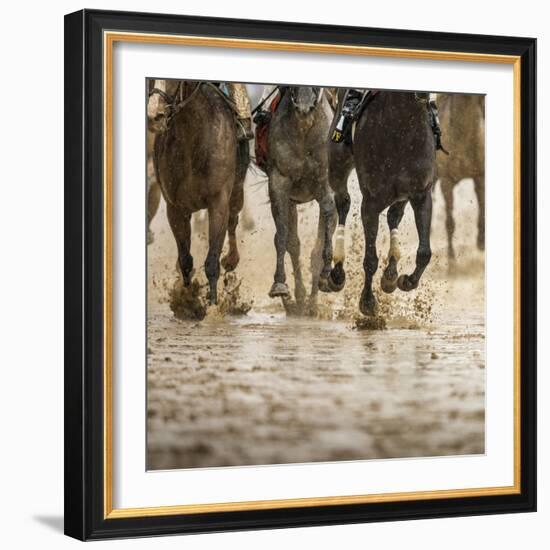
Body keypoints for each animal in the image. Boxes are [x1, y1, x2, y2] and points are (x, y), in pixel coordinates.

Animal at [148, 81, 249, 306]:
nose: (154, 114)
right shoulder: (175, 207)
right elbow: (185, 259)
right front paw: (186, 299)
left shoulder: (218, 202)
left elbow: (212, 260)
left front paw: (212, 306)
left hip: (237, 191)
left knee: (233, 220)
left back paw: (232, 259)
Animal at [268, 87, 336, 314]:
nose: (304, 107)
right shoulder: (279, 182)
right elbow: (283, 235)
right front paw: (280, 284)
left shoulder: (325, 181)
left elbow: (328, 218)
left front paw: (326, 273)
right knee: (293, 243)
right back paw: (297, 301)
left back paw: (312, 302)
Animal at [330, 90, 438, 314]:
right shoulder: (370, 203)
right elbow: (370, 259)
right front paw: (367, 301)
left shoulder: (421, 195)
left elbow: (424, 252)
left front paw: (406, 280)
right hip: (337, 165)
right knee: (343, 202)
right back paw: (337, 272)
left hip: (402, 196)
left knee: (393, 216)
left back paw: (390, 273)